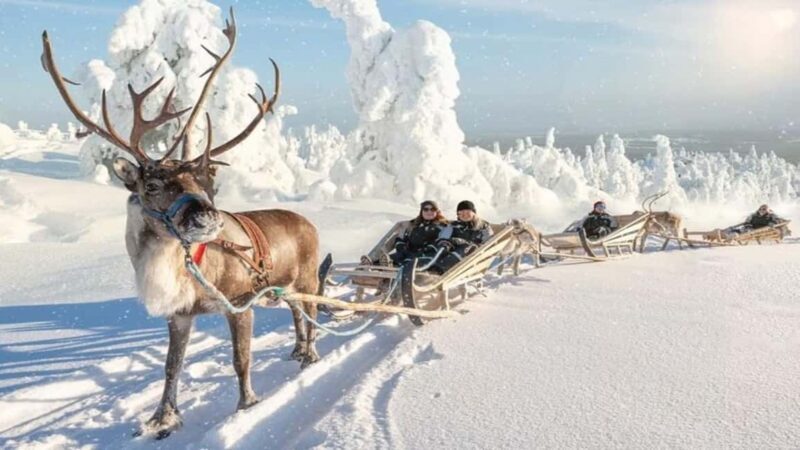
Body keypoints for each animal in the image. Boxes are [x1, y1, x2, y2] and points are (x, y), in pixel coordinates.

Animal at [41, 9, 321, 439]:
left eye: (204, 181)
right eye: (153, 184)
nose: (208, 217)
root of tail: (307, 221)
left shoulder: (239, 304)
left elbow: (241, 360)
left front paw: (246, 407)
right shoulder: (179, 315)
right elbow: (171, 367)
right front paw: (162, 418)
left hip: (307, 278)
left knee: (313, 313)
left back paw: (312, 354)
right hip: (285, 287)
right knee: (296, 314)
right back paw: (298, 350)